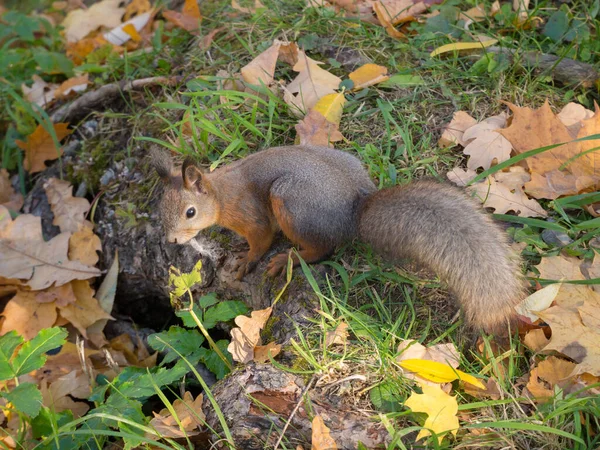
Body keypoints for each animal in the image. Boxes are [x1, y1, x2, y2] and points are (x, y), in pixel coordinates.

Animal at [151, 146, 524, 332]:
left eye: (190, 212)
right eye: (159, 207)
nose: (172, 241)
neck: (221, 195)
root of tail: (353, 212)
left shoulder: (253, 216)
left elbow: (261, 240)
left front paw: (247, 260)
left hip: (291, 201)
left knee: (322, 248)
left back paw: (288, 258)